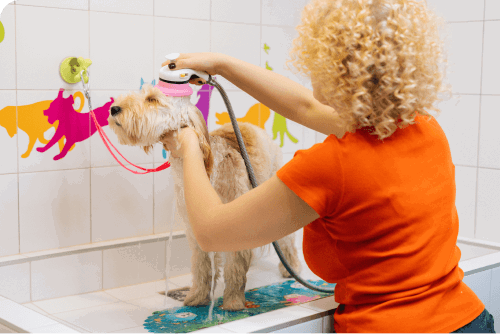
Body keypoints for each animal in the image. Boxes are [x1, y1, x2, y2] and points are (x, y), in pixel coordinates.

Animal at [109, 83, 300, 310]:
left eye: (152, 99)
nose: (114, 109)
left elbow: (234, 269)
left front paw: (233, 302)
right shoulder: (196, 227)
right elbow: (202, 267)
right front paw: (198, 296)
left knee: (287, 241)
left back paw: (290, 268)